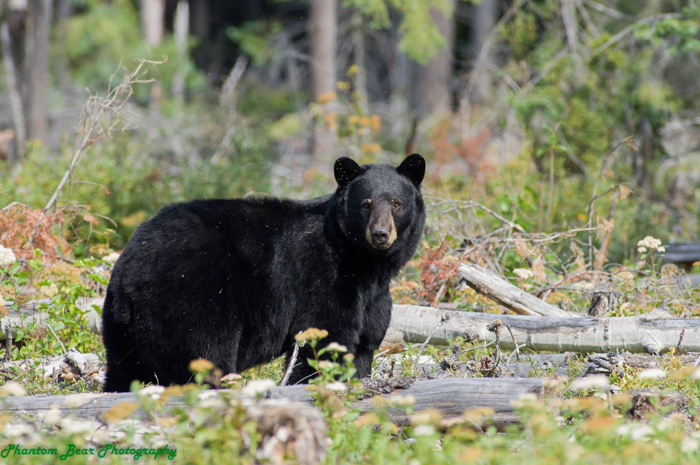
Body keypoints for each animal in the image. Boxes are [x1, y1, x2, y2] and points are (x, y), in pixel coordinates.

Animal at [100, 154, 424, 390]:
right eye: (365, 204)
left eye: (396, 203)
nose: (380, 234)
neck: (364, 263)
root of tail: (127, 271)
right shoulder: (324, 276)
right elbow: (323, 338)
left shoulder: (373, 297)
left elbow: (364, 344)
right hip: (191, 304)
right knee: (201, 357)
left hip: (126, 328)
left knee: (124, 368)